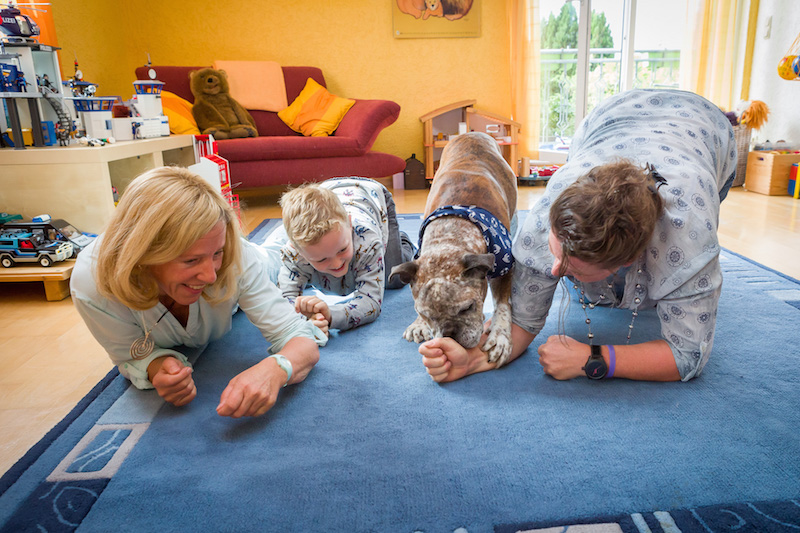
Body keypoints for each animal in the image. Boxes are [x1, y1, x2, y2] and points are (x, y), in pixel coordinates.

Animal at [389, 132, 517, 366]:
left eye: (468, 308)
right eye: (426, 315)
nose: (449, 334)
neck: (449, 234)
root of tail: (473, 133)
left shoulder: (505, 270)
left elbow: (503, 305)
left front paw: (500, 337)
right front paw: (418, 324)